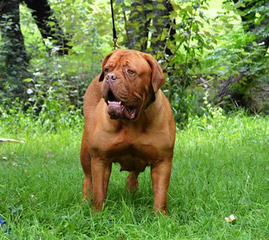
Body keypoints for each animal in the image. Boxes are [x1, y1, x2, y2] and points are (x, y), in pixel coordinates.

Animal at [80, 48, 176, 214]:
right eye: (107, 69)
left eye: (130, 71)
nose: (109, 77)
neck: (133, 123)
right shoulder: (100, 159)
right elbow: (99, 191)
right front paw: (97, 213)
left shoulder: (162, 161)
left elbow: (160, 193)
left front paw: (160, 216)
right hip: (86, 152)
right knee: (88, 179)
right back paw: (85, 202)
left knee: (133, 173)